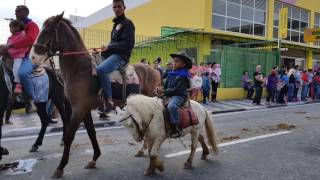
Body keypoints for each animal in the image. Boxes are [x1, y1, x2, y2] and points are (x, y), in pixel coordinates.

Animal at [30, 13, 160, 178]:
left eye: (47, 31)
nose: (33, 57)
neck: (80, 70)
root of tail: (154, 70)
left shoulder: (78, 109)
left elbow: (69, 135)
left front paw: (60, 167)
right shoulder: (84, 109)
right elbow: (91, 132)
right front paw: (94, 158)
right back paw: (143, 149)